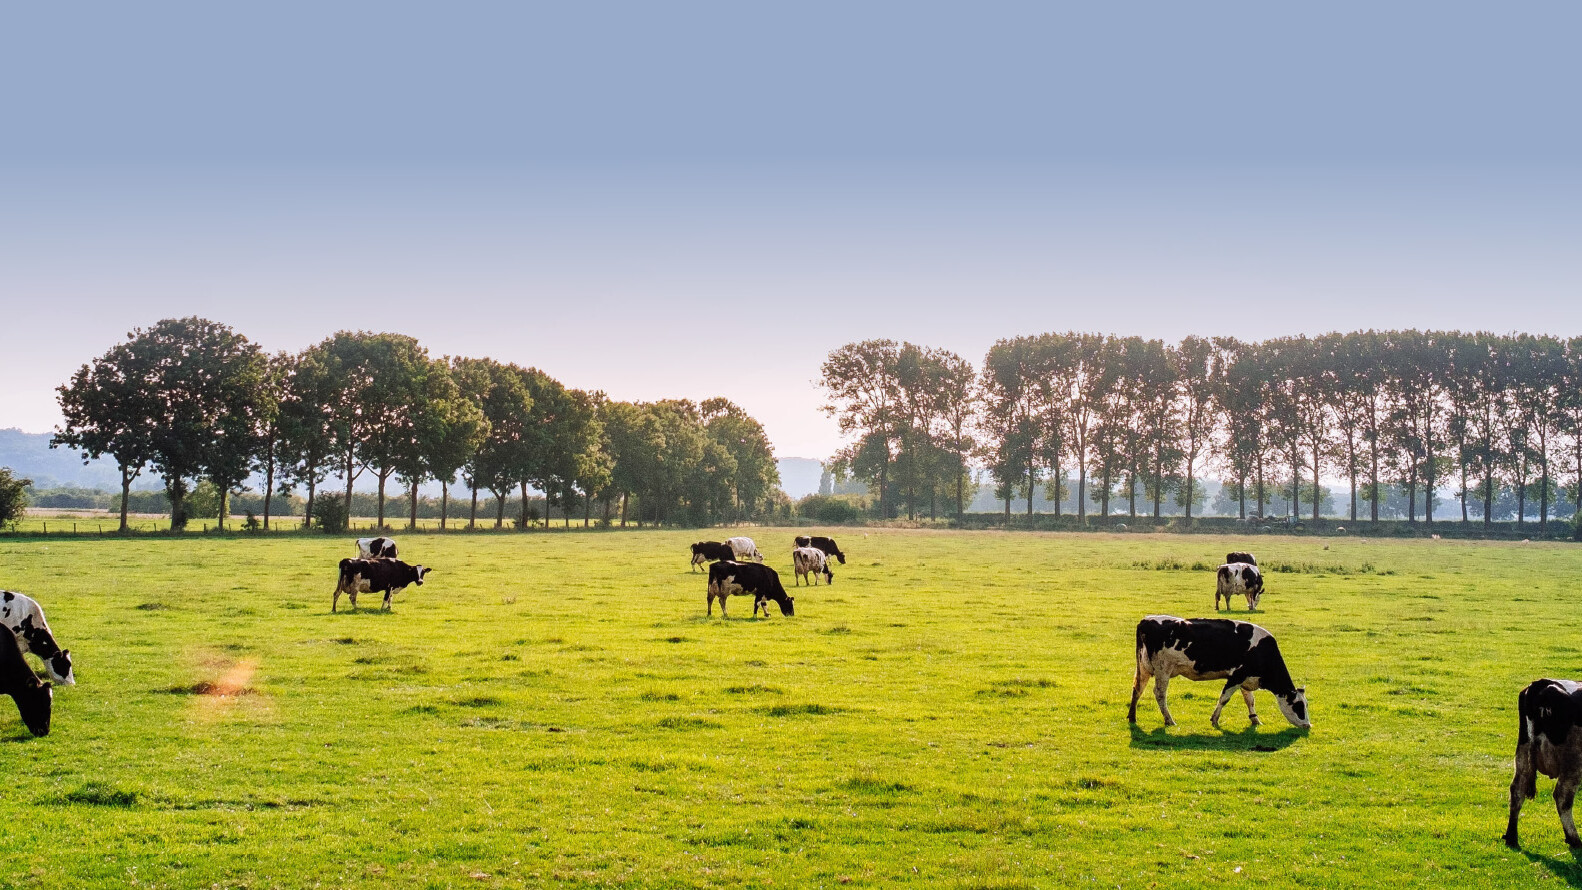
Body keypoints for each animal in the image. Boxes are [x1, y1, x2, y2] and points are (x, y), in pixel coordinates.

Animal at [1132, 616, 1316, 733]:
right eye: (1299, 706)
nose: (1308, 725)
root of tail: (1146, 620)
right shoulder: (1236, 676)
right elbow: (1224, 698)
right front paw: (1214, 719)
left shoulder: (1246, 679)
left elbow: (1249, 700)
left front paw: (1255, 720)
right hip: (1163, 670)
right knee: (1159, 694)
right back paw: (1169, 720)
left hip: (1144, 668)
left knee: (1137, 689)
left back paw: (1132, 717)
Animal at [1499, 682, 1582, 847]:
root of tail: (1544, 684)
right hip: (1573, 760)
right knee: (1563, 797)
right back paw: (1574, 839)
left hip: (1523, 753)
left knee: (1517, 790)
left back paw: (1511, 837)